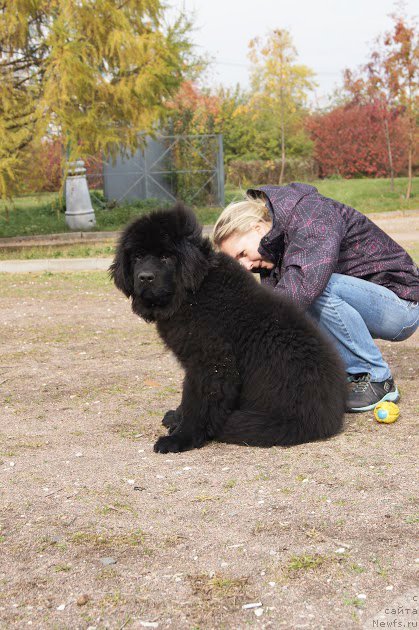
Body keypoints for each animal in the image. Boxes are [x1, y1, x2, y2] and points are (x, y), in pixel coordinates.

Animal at [109, 205, 348, 456]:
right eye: (137, 256)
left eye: (166, 257)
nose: (145, 277)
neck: (191, 292)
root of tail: (331, 414)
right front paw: (176, 417)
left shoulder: (211, 361)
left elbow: (198, 402)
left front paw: (180, 438)